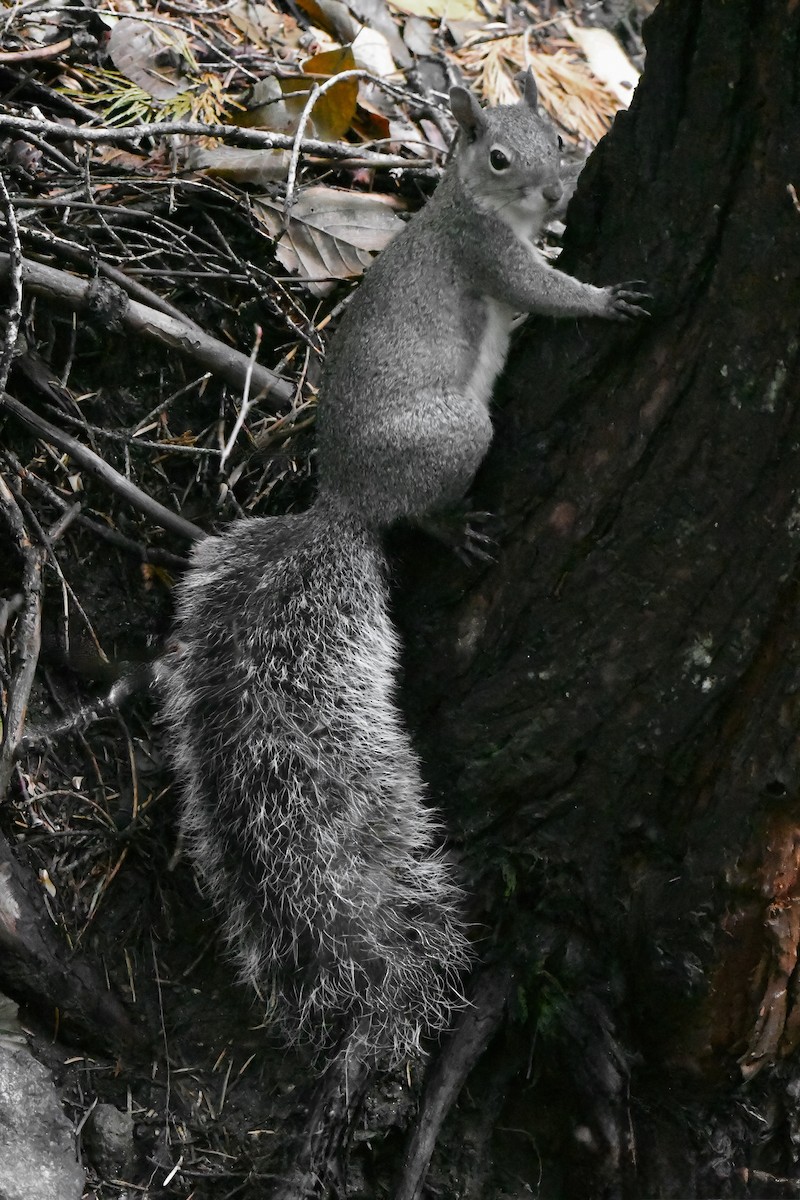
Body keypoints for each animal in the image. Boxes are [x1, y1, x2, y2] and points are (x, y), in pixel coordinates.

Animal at [159, 71, 648, 1063]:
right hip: (457, 432)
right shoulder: (488, 257)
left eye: (557, 136)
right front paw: (601, 296)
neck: (464, 202)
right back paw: (449, 526)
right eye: (497, 156)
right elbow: (543, 289)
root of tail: (348, 501)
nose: (558, 193)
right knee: (420, 511)